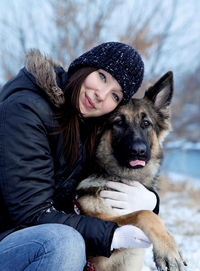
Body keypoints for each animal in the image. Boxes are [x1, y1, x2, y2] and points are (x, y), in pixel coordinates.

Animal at [76, 72, 186, 271]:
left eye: (146, 123)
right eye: (119, 123)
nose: (138, 151)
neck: (123, 178)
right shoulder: (101, 228)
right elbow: (144, 213)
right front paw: (169, 250)